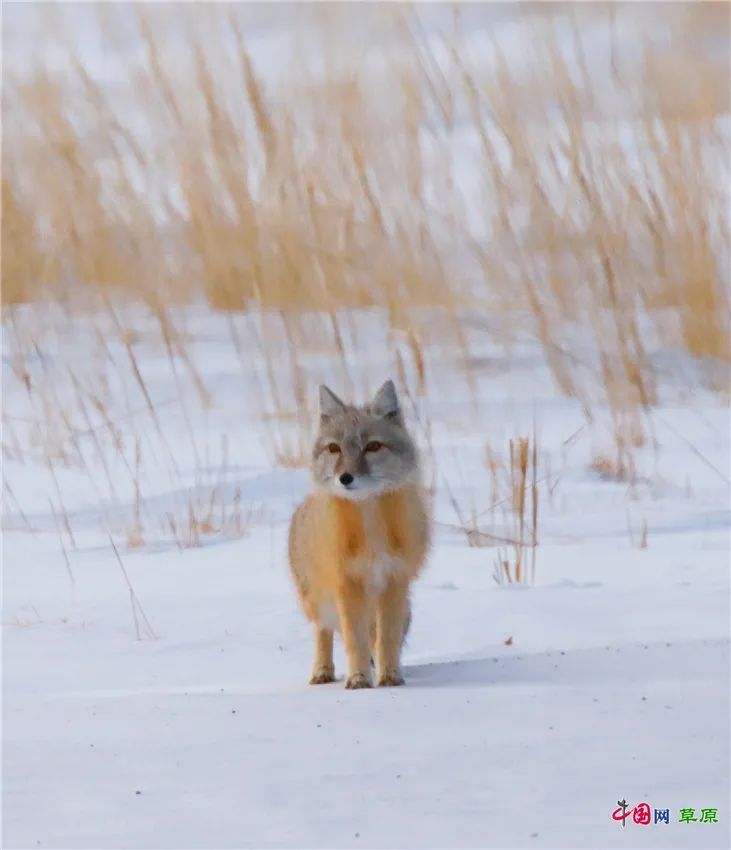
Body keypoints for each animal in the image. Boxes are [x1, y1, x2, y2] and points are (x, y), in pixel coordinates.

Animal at [288, 380, 432, 684]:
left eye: (373, 446)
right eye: (334, 448)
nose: (346, 478)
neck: (371, 530)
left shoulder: (394, 581)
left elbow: (386, 640)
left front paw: (390, 678)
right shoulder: (347, 583)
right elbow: (354, 641)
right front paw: (358, 680)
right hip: (316, 602)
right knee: (323, 631)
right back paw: (322, 672)